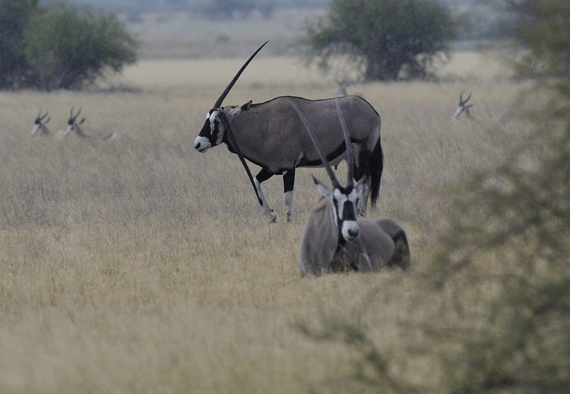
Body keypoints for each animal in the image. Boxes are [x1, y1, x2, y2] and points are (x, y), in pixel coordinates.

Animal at [193, 42, 384, 225]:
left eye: (216, 121)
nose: (198, 143)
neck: (265, 125)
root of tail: (373, 111)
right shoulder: (271, 167)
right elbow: (256, 182)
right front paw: (271, 216)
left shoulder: (288, 168)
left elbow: (287, 198)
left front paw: (288, 221)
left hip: (362, 152)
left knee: (365, 183)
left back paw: (361, 214)